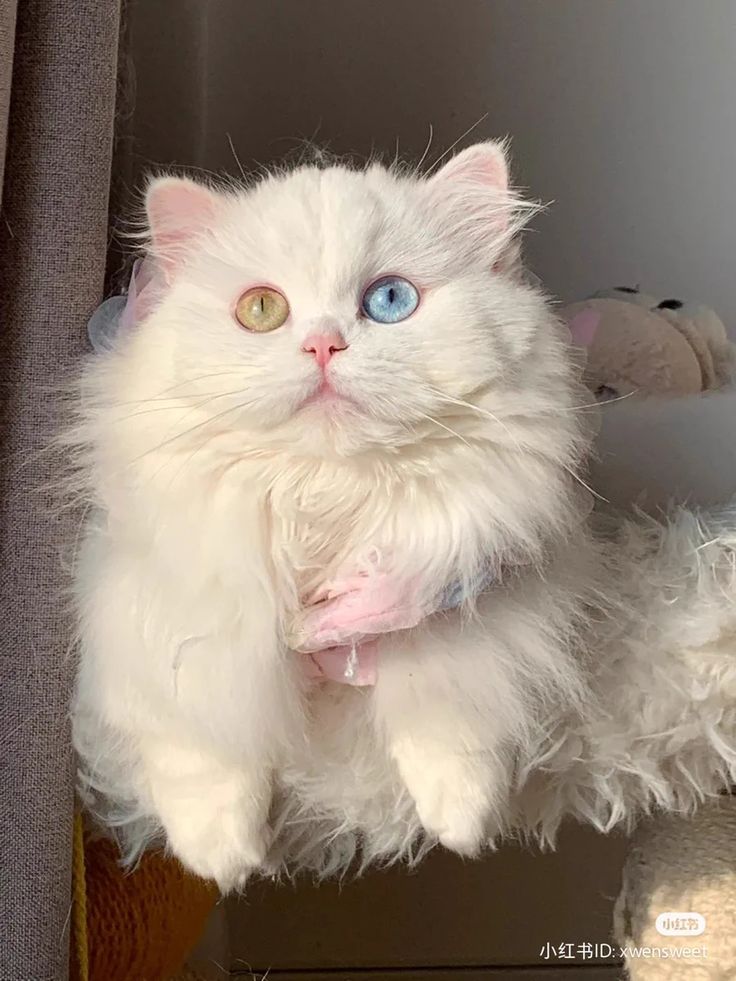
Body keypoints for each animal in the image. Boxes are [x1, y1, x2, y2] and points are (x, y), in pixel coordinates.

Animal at [69, 144, 736, 888]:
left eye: (390, 301)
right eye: (263, 309)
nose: (323, 345)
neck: (327, 502)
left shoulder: (463, 592)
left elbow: (448, 714)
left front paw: (462, 826)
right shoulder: (167, 621)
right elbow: (205, 744)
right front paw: (222, 857)